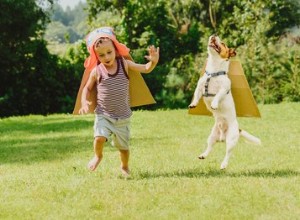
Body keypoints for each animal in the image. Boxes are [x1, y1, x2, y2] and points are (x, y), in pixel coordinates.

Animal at [189, 34, 262, 169]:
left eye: (223, 43)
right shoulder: (200, 87)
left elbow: (218, 95)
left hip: (231, 140)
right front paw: (193, 104)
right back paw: (203, 155)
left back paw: (223, 164)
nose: (214, 35)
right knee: (210, 147)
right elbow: (196, 95)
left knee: (228, 153)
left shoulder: (223, 89)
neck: (213, 72)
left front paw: (214, 104)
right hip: (212, 136)